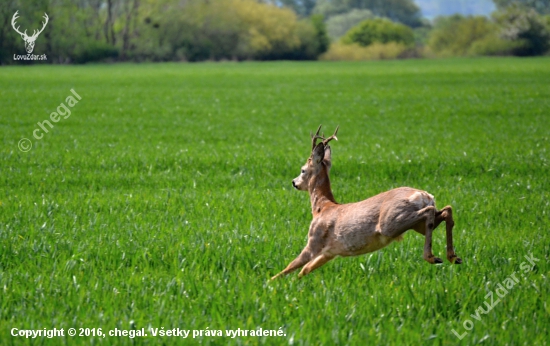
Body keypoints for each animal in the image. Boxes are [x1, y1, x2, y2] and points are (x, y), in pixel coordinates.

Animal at [272, 125, 462, 280]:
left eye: (303, 170)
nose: (294, 182)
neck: (321, 208)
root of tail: (424, 195)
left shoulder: (314, 240)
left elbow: (290, 267)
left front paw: (271, 284)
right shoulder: (330, 252)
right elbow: (304, 270)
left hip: (391, 222)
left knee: (430, 212)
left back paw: (432, 257)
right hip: (417, 224)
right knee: (446, 210)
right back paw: (453, 257)